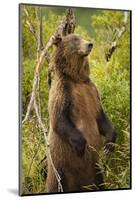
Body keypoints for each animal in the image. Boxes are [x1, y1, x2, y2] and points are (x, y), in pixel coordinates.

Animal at [46, 33, 116, 193]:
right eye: (75, 40)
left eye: (82, 37)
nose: (90, 44)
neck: (76, 79)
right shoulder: (63, 92)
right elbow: (59, 119)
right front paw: (81, 146)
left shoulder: (91, 92)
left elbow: (101, 117)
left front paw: (109, 145)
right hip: (60, 169)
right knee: (58, 183)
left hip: (94, 169)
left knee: (98, 179)